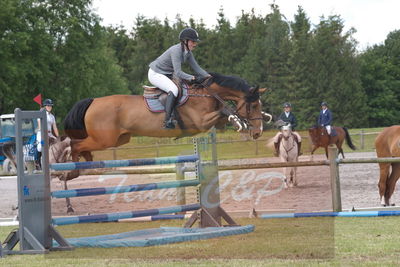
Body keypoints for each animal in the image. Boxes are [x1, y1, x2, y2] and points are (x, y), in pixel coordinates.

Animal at [65, 72, 268, 162]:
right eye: (254, 105)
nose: (258, 132)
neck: (205, 93)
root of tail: (93, 101)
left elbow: (225, 115)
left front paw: (242, 123)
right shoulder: (200, 122)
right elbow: (225, 111)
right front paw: (239, 122)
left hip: (119, 139)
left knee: (81, 146)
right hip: (104, 139)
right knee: (75, 145)